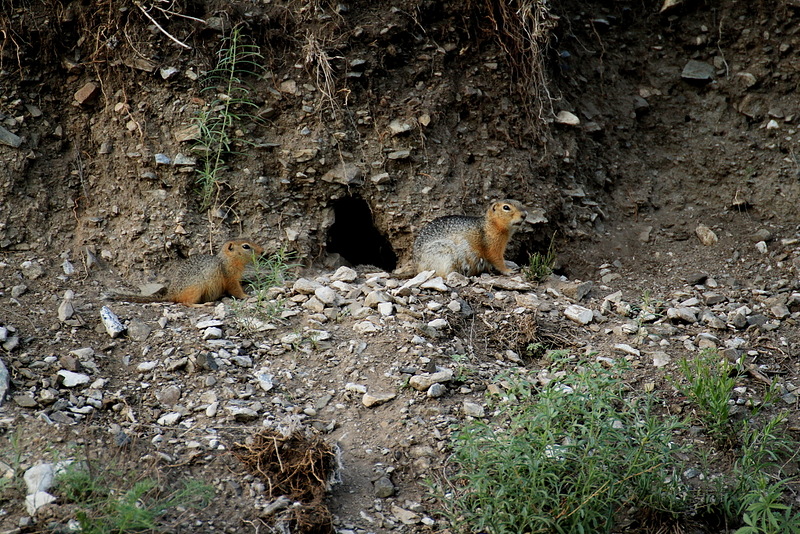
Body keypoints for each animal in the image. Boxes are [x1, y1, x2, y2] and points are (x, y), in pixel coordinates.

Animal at [111, 240, 266, 306]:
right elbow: (235, 290)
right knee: (186, 303)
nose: (262, 251)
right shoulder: (230, 277)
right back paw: (203, 305)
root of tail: (171, 294)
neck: (226, 259)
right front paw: (246, 296)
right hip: (196, 288)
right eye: (246, 246)